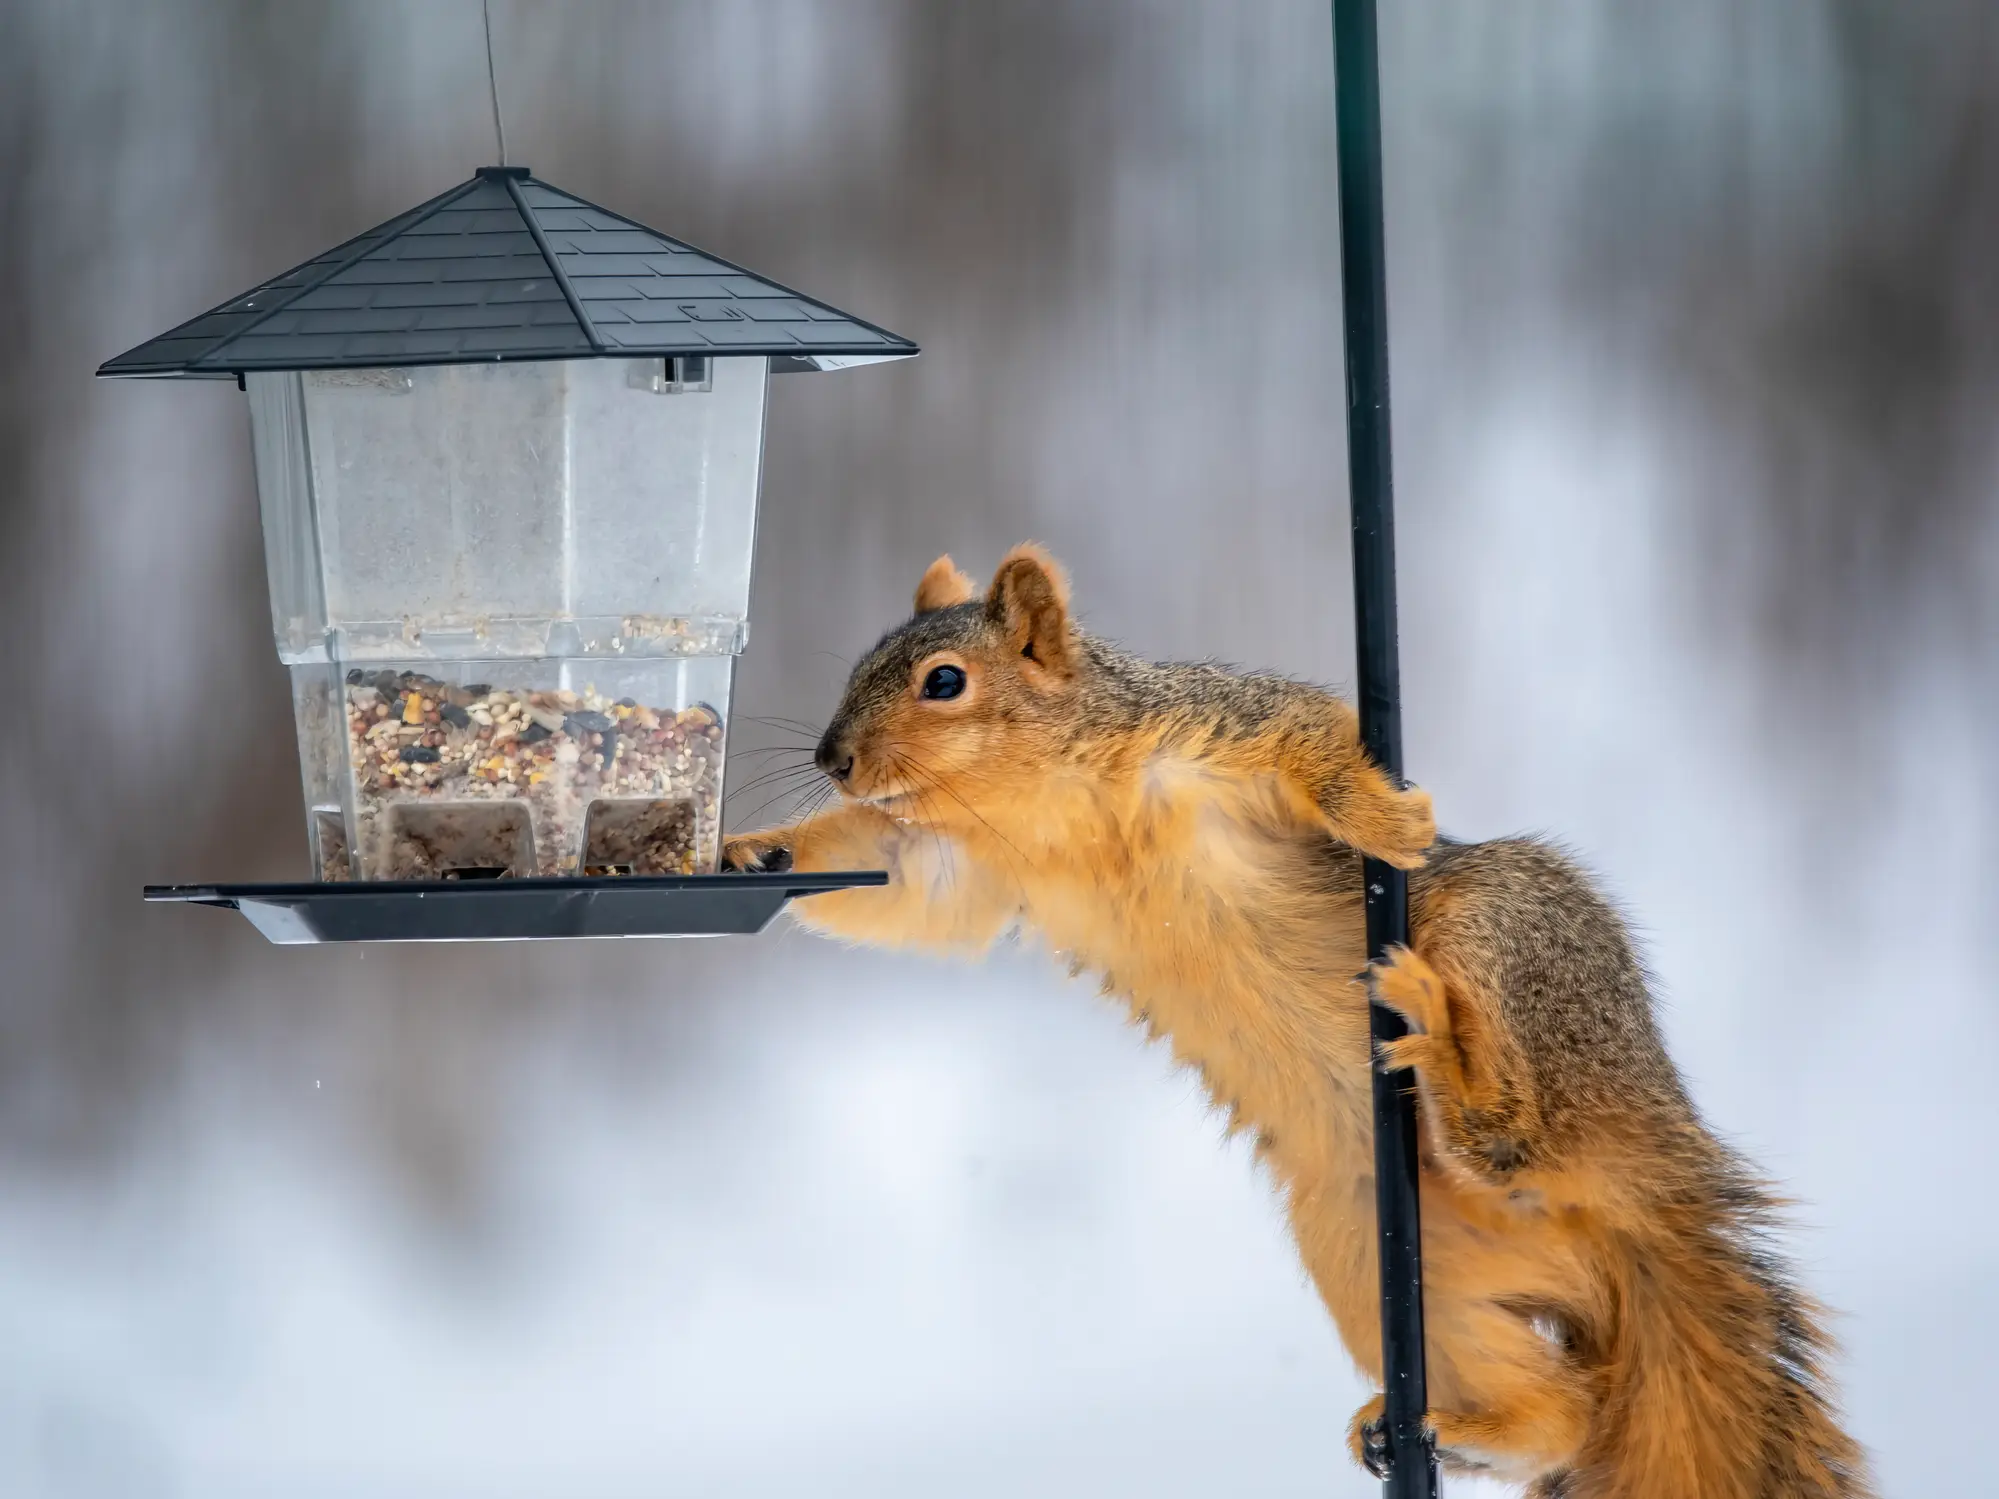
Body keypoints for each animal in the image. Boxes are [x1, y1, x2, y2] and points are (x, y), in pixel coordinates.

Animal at [724, 544, 1873, 1499]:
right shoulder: (964, 867)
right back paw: (1448, 1426)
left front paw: (1378, 813)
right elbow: (903, 893)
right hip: (1370, 1243)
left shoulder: (1214, 727)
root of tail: (1641, 1176)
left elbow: (1312, 734)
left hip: (1504, 928)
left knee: (1515, 1139)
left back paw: (1444, 1054)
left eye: (943, 680)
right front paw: (754, 850)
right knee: (1564, 1414)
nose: (831, 760)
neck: (1040, 803)